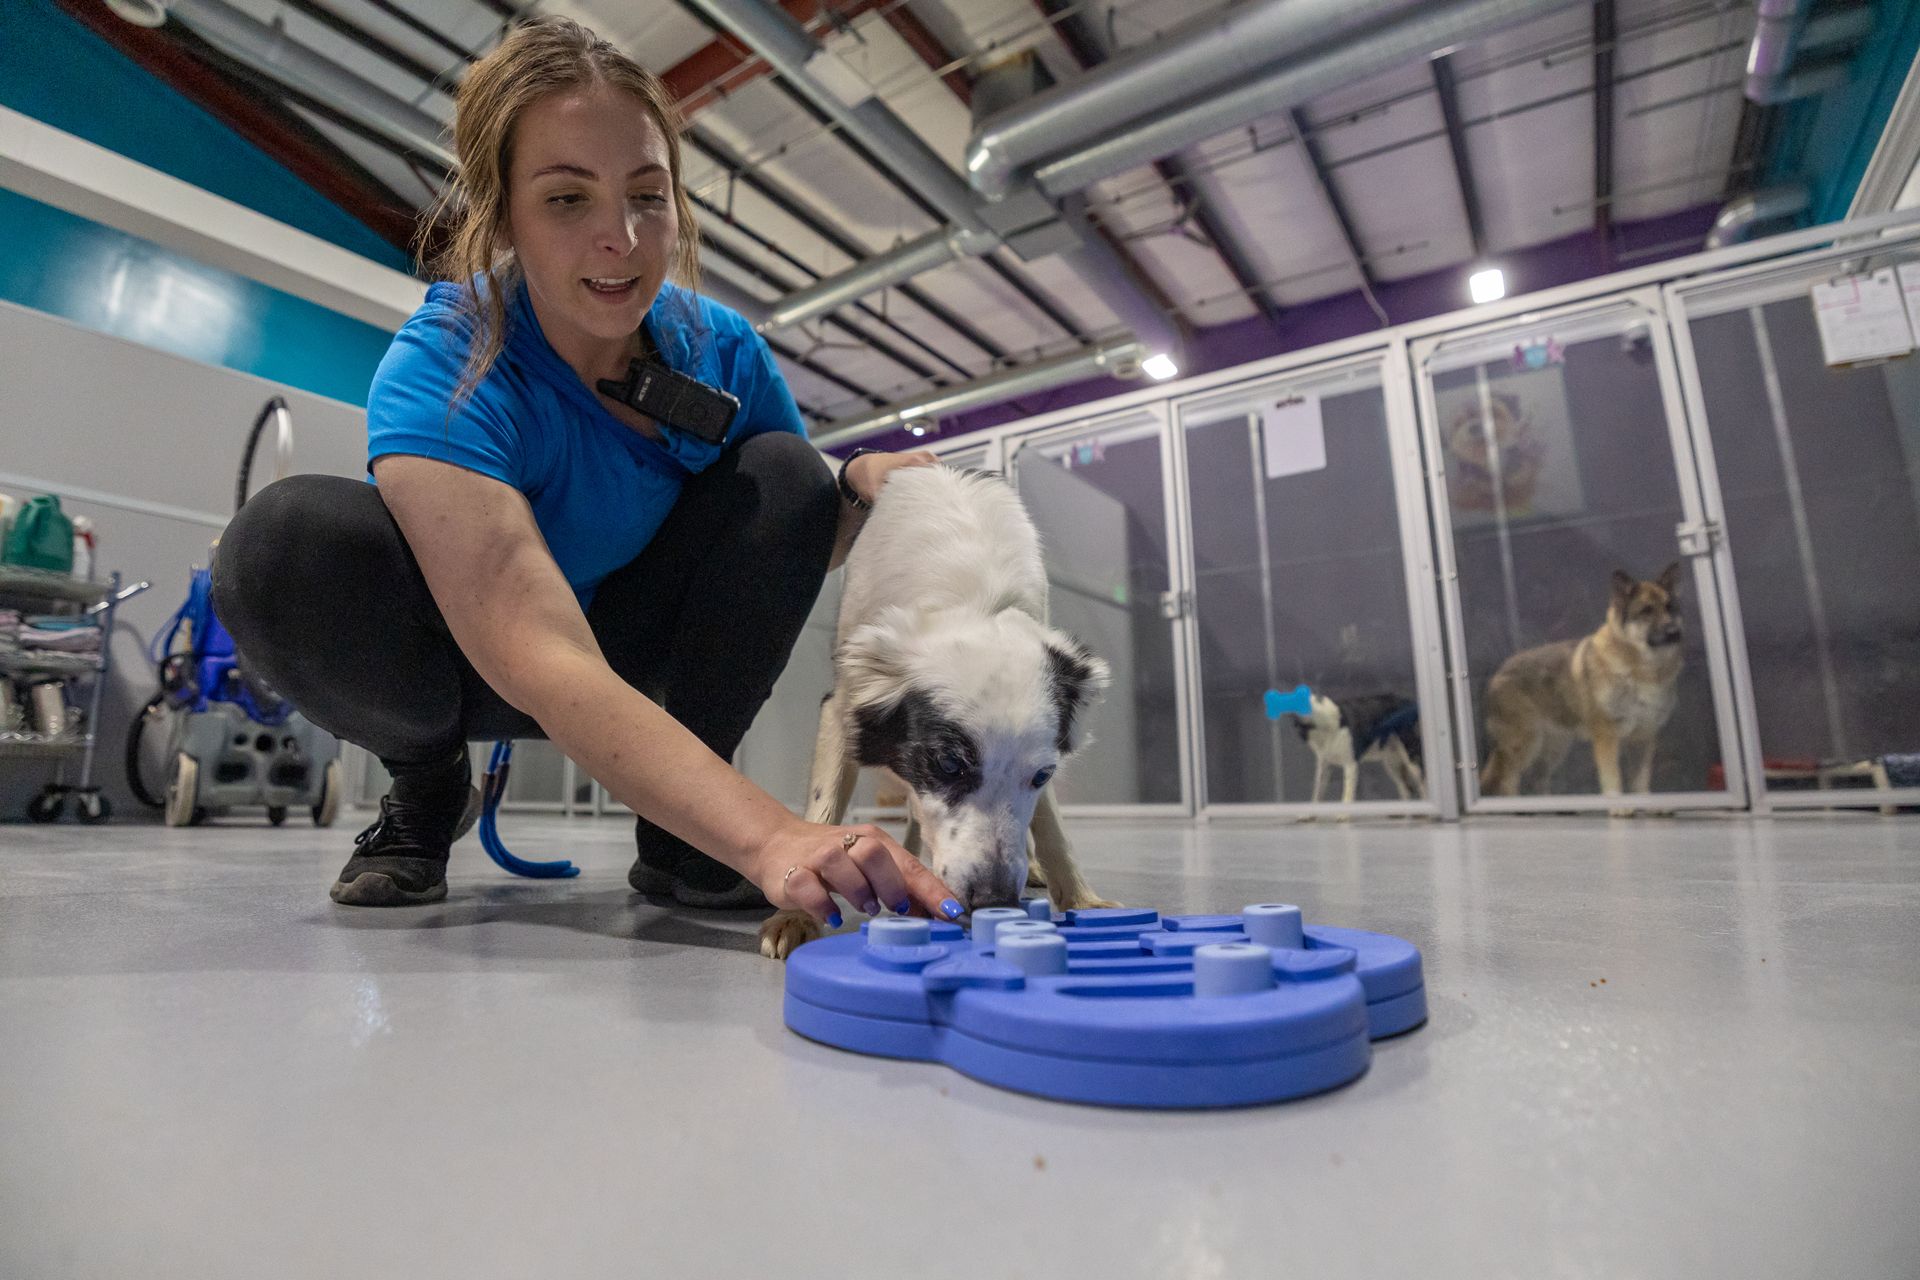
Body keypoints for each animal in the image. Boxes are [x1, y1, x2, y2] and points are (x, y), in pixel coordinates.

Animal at [764, 466, 1121, 955]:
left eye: (1042, 775)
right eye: (949, 764)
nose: (994, 901)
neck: (972, 597)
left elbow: (1051, 826)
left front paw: (1084, 901)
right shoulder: (842, 705)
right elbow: (824, 807)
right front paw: (796, 912)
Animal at [1290, 694, 1428, 805]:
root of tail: (1409, 702)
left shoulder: (1350, 765)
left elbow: (1347, 795)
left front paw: (1343, 816)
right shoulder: (1324, 766)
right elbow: (1317, 792)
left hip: (1411, 758)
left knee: (1422, 786)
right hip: (1392, 763)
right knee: (1406, 789)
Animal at [1474, 568, 1689, 817]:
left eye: (1670, 607)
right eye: (1646, 611)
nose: (1675, 632)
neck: (1642, 670)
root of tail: (1497, 673)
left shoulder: (1643, 739)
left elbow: (1641, 780)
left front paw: (1650, 804)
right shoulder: (1607, 738)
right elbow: (1613, 777)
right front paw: (1619, 807)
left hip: (1554, 748)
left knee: (1537, 779)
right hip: (1525, 744)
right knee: (1507, 780)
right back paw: (1518, 809)